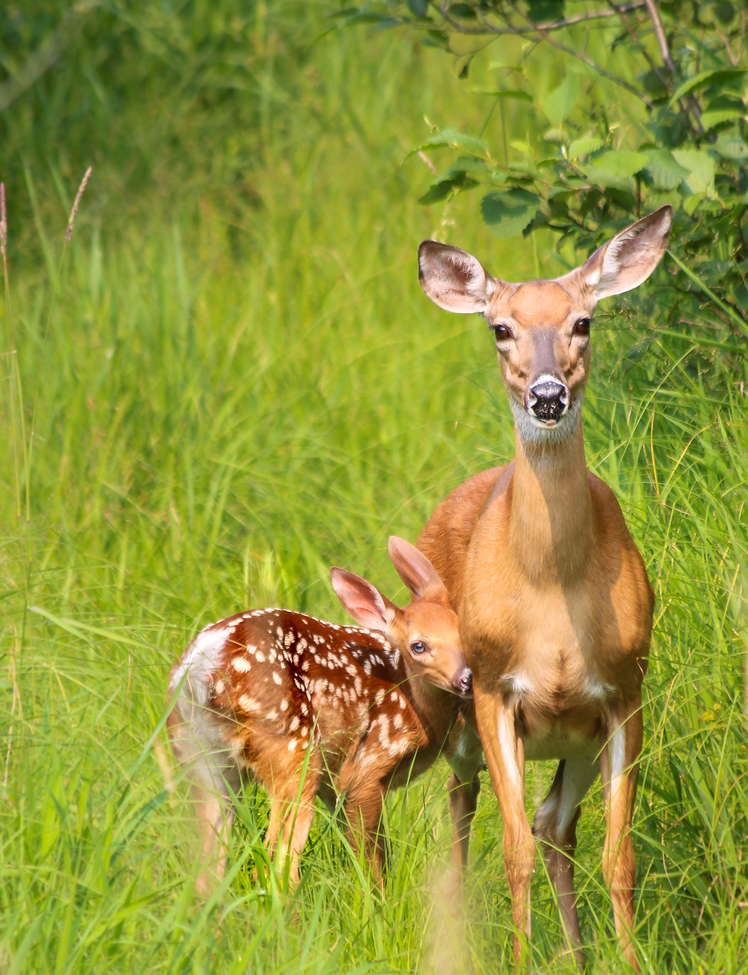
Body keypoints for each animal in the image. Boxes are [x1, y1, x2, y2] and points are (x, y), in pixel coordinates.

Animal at [167, 536, 473, 892]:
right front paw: (377, 903)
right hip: (293, 750)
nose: (466, 679)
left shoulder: (334, 781)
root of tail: (204, 664)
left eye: (465, 635)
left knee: (207, 872)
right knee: (277, 864)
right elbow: (373, 864)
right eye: (418, 646)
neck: (416, 704)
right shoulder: (366, 769)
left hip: (200, 759)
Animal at [415, 206, 673, 970]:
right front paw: (520, 955)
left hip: (574, 742)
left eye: (584, 320)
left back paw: (578, 952)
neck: (554, 598)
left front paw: (627, 959)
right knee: (462, 803)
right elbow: (512, 855)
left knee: (554, 822)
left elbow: (617, 858)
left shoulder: (625, 689)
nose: (549, 394)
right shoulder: (496, 688)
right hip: (450, 707)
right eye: (499, 327)